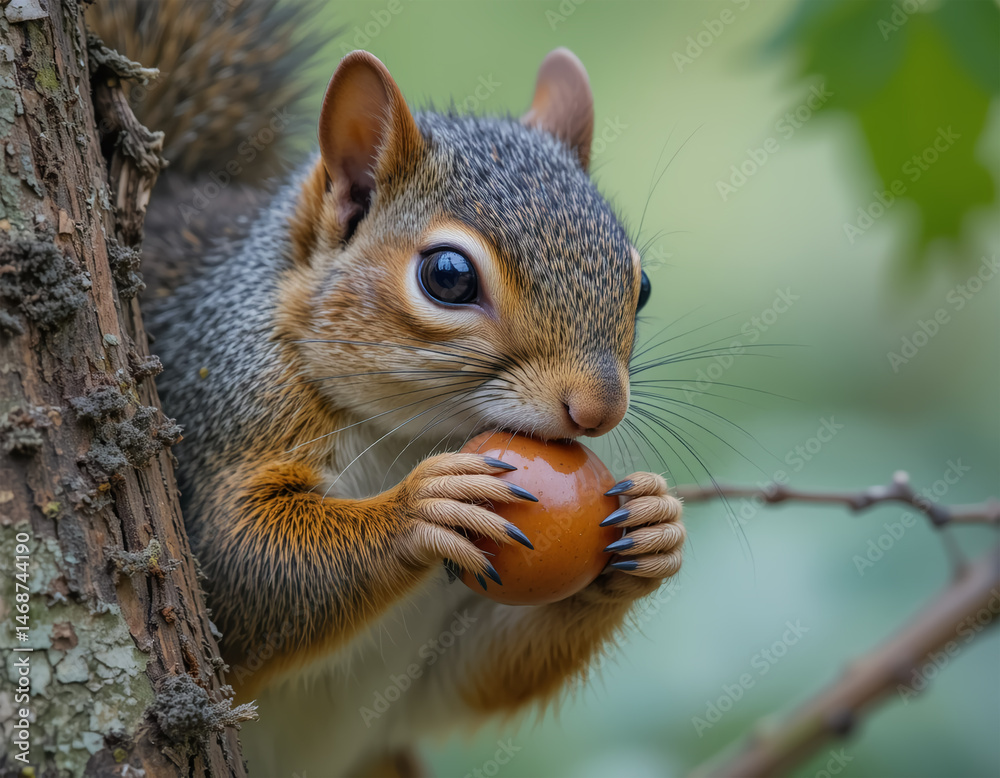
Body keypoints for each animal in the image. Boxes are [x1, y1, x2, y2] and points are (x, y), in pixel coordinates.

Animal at [90, 1, 685, 776]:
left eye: (640, 286)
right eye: (448, 277)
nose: (598, 409)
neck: (412, 435)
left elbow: (466, 680)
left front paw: (655, 528)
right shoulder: (220, 415)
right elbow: (234, 568)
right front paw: (421, 509)